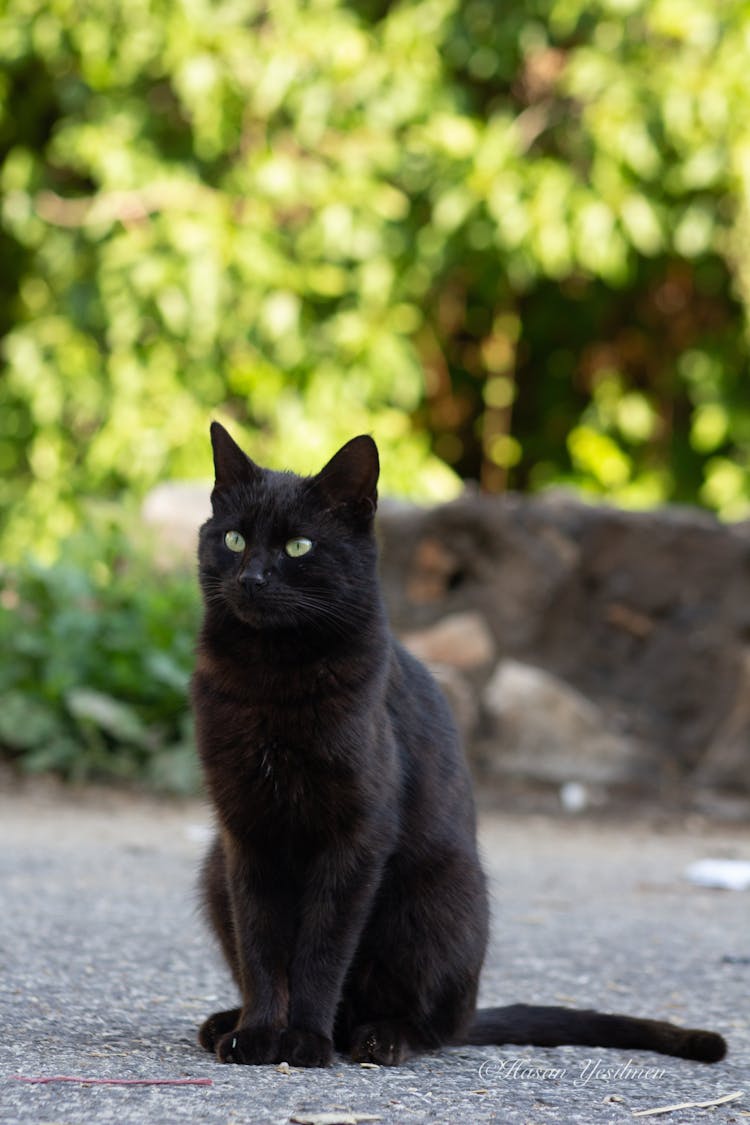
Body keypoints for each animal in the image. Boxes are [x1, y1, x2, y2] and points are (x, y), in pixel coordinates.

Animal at [192, 420, 728, 1062]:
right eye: (234, 539)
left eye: (299, 547)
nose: (251, 578)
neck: (270, 678)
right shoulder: (247, 835)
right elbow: (262, 947)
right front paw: (256, 1035)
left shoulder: (356, 838)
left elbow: (321, 952)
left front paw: (302, 1041)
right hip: (214, 869)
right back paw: (227, 1022)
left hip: (437, 895)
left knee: (433, 1025)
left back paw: (377, 1038)